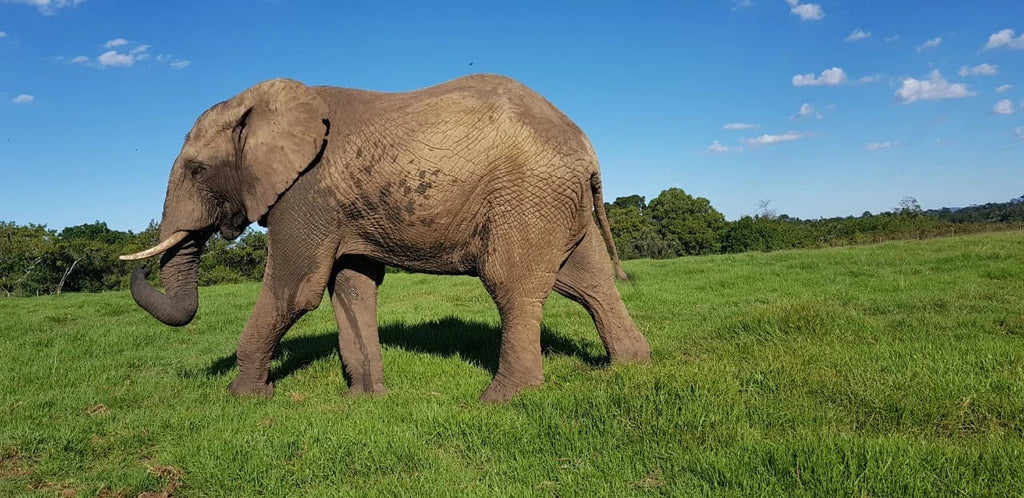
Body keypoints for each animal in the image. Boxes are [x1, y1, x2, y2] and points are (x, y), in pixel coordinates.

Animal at [121, 74, 650, 402]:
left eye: (196, 170)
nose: (138, 266)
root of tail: (586, 149)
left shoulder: (305, 191)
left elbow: (296, 291)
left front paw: (245, 398)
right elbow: (352, 287)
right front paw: (365, 398)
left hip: (526, 195)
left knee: (513, 286)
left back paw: (501, 400)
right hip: (555, 199)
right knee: (587, 281)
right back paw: (627, 367)